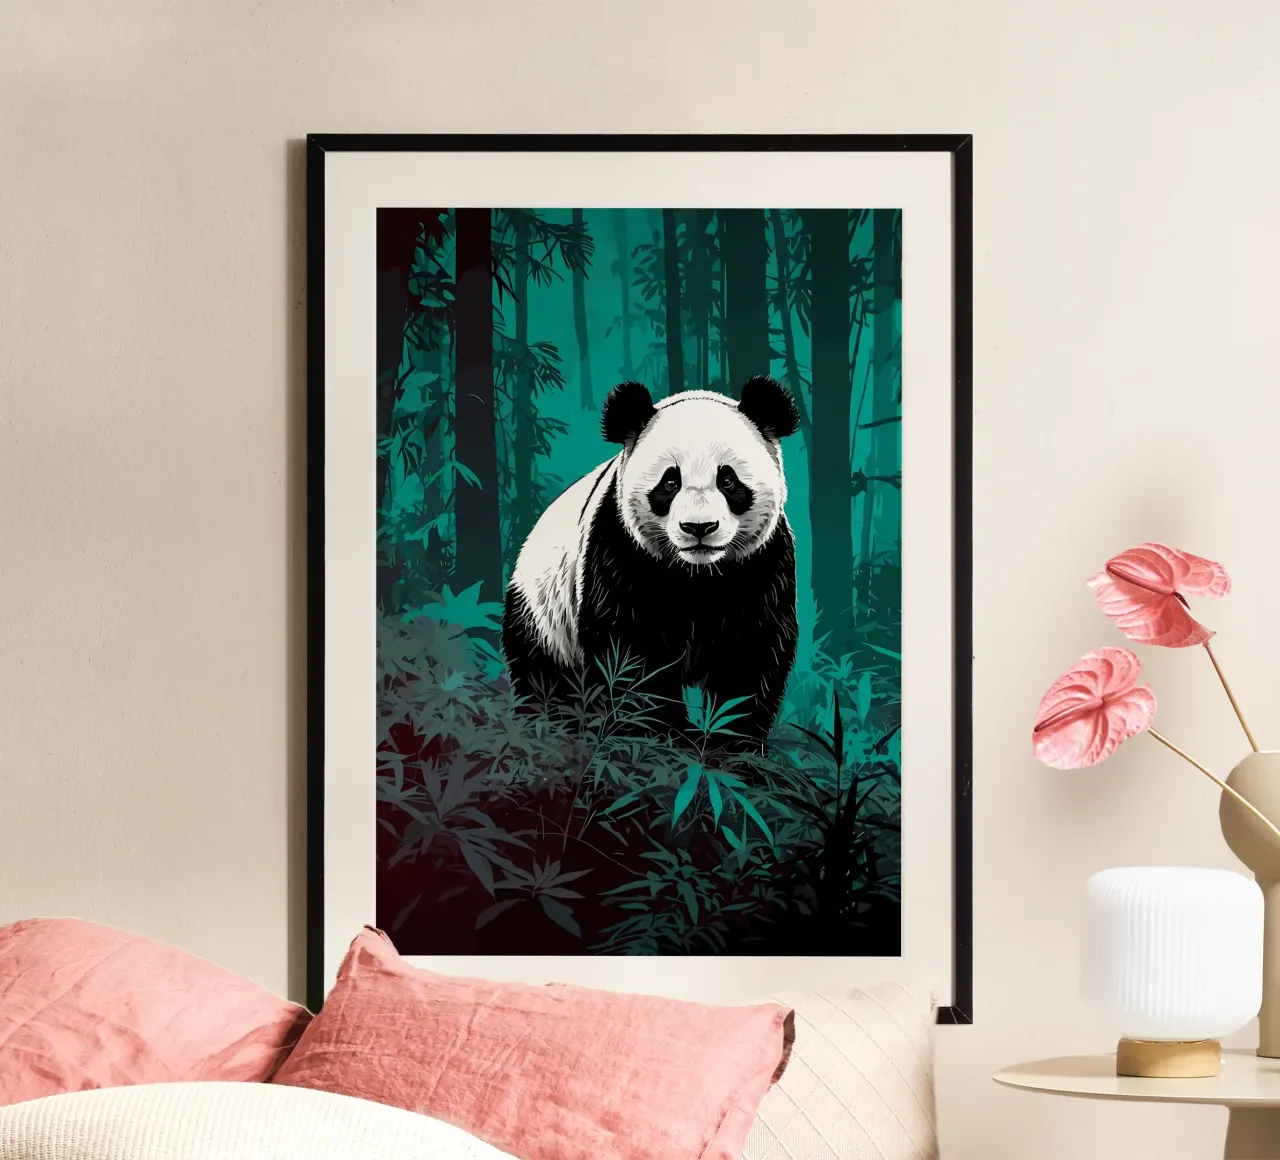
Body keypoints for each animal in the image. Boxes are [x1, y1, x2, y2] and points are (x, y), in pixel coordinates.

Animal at [502, 375, 800, 750]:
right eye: (670, 482)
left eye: (728, 480)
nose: (699, 527)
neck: (699, 572)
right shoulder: (623, 552)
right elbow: (631, 653)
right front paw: (663, 733)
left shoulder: (760, 564)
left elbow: (750, 654)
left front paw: (730, 740)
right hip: (542, 614)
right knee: (545, 680)